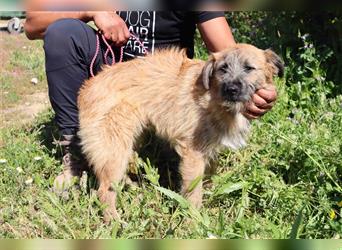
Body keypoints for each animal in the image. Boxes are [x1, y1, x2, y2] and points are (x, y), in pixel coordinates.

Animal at [77, 44, 284, 222]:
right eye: (223, 68)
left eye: (249, 68)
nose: (231, 89)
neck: (212, 96)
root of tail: (87, 86)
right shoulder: (193, 154)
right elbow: (193, 193)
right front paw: (194, 222)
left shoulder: (209, 151)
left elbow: (208, 179)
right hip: (114, 146)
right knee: (104, 190)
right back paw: (114, 222)